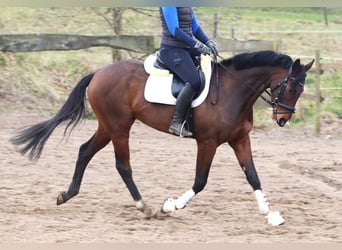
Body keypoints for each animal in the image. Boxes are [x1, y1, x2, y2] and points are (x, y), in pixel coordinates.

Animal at [11, 49, 312, 226]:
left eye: (300, 91)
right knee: (122, 165)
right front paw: (171, 206)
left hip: (108, 126)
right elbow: (200, 181)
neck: (233, 91)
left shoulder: (239, 140)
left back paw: (67, 194)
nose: (282, 120)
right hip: (119, 127)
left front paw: (272, 214)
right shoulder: (208, 142)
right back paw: (145, 207)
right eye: (290, 88)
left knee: (85, 150)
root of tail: (99, 72)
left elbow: (253, 177)